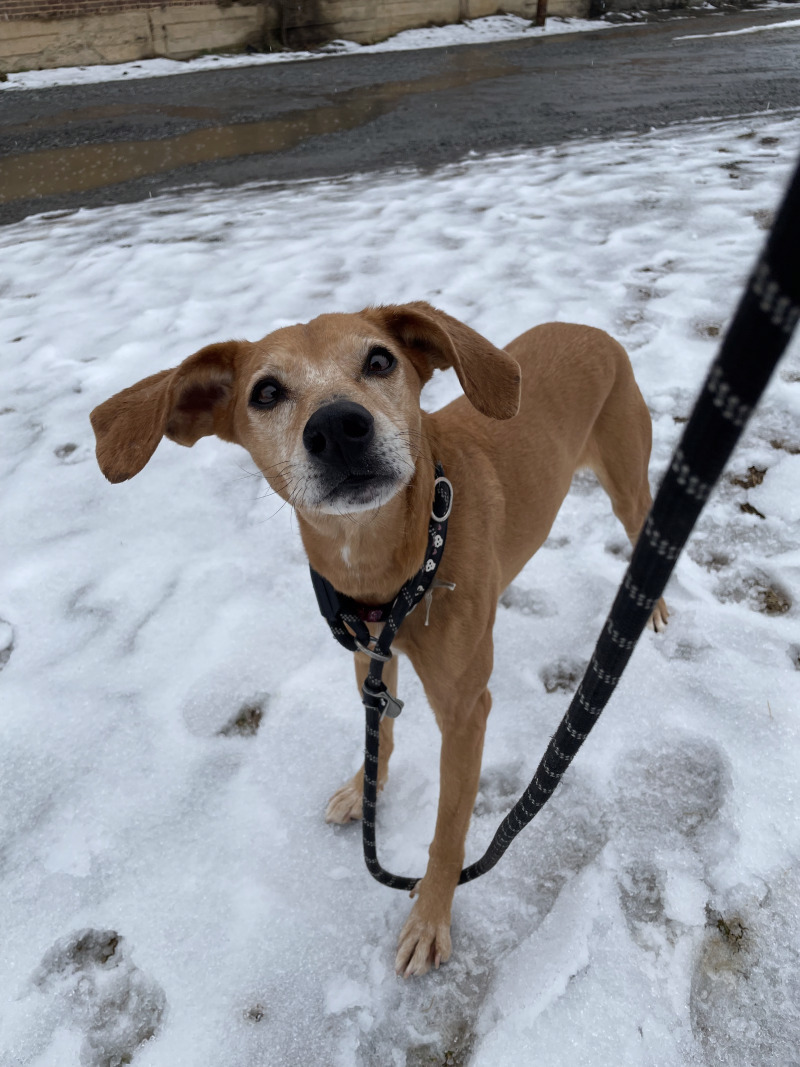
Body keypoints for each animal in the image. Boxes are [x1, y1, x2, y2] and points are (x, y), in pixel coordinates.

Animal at [89, 300, 669, 977]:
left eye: (380, 360)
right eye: (266, 392)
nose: (338, 427)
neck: (396, 567)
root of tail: (588, 328)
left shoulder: (466, 711)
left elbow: (448, 832)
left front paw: (430, 917)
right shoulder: (369, 653)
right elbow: (381, 730)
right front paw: (363, 788)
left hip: (628, 483)